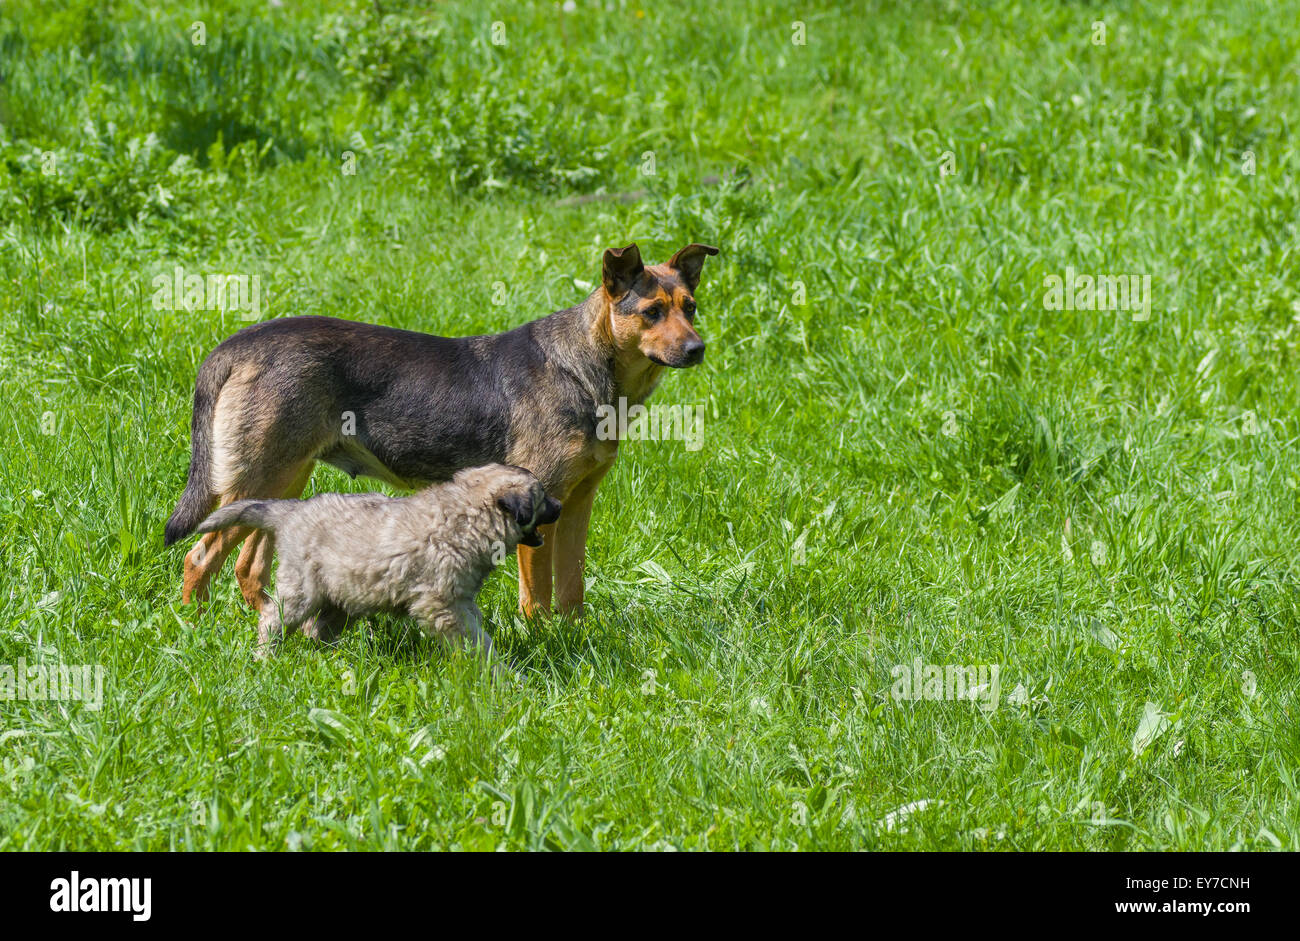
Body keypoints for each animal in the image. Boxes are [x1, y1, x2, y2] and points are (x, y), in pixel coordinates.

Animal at [163, 239, 722, 613]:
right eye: (651, 312)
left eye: (691, 308)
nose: (697, 349)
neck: (587, 368)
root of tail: (235, 345)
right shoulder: (540, 510)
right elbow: (538, 597)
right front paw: (546, 645)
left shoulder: (578, 504)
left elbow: (571, 589)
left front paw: (574, 636)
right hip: (257, 479)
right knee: (199, 558)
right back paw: (195, 630)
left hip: (283, 480)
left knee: (246, 566)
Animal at [193, 462, 559, 662]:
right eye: (542, 497)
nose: (559, 506)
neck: (467, 516)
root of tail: (291, 512)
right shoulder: (443, 604)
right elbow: (476, 640)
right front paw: (491, 671)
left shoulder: (460, 598)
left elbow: (478, 630)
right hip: (301, 590)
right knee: (273, 619)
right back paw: (266, 657)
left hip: (342, 595)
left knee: (318, 628)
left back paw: (331, 658)